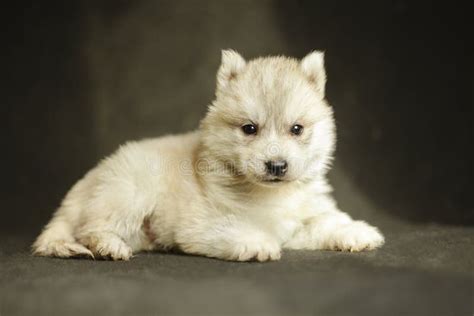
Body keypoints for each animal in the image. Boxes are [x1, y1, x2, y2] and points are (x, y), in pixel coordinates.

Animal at [32, 50, 386, 262]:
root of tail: (81, 186)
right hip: (128, 191)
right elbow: (232, 228)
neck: (270, 195)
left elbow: (326, 221)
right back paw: (109, 245)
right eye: (249, 128)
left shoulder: (300, 220)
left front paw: (357, 232)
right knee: (90, 227)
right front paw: (256, 244)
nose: (277, 165)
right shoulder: (202, 222)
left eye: (297, 129)